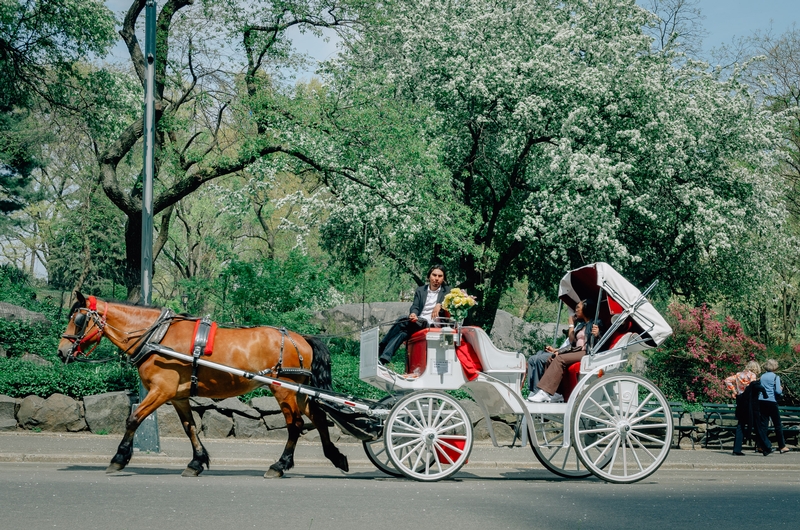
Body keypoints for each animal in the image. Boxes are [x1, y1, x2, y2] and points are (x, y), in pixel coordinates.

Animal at [57, 290, 348, 476]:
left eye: (78, 319)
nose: (61, 351)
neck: (157, 337)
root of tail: (301, 339)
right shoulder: (178, 396)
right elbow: (190, 428)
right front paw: (196, 463)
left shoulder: (161, 391)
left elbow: (134, 419)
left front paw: (118, 459)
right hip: (299, 391)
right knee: (318, 419)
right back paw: (337, 457)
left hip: (283, 389)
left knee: (295, 425)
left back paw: (279, 465)